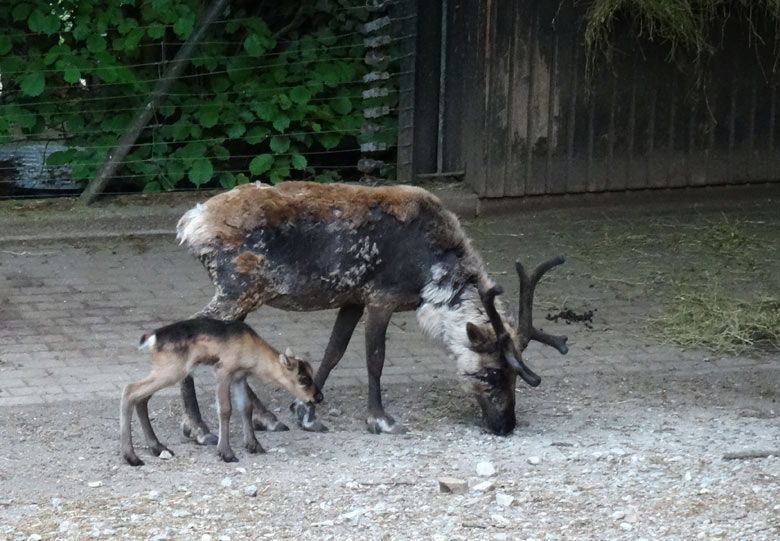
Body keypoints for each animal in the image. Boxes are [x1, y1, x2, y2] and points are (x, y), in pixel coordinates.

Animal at [119, 316, 320, 464]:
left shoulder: (240, 375)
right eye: (303, 379)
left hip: (164, 371)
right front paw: (226, 453)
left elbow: (246, 407)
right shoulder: (224, 369)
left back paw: (158, 448)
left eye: (312, 373)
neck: (253, 356)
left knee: (141, 397)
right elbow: (225, 409)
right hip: (172, 370)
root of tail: (152, 339)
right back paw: (132, 457)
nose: (318, 397)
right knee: (130, 390)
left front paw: (254, 445)